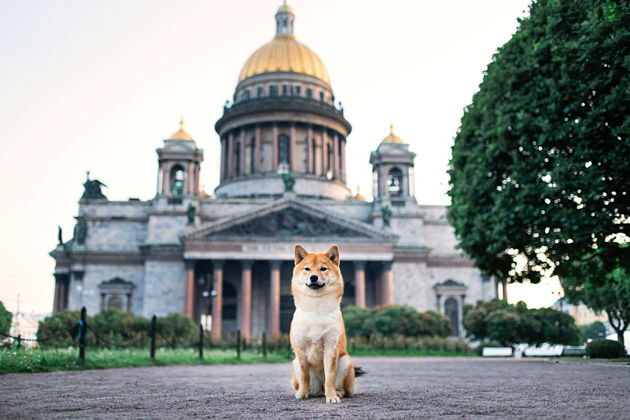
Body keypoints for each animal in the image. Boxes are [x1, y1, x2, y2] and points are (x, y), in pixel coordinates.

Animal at [288, 244, 362, 406]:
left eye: (323, 269)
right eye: (307, 269)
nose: (313, 277)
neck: (316, 308)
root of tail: (319, 391)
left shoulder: (331, 348)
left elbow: (330, 377)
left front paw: (332, 396)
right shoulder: (300, 351)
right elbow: (305, 376)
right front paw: (302, 393)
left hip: (345, 361)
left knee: (343, 388)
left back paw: (337, 392)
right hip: (295, 364)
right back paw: (305, 391)